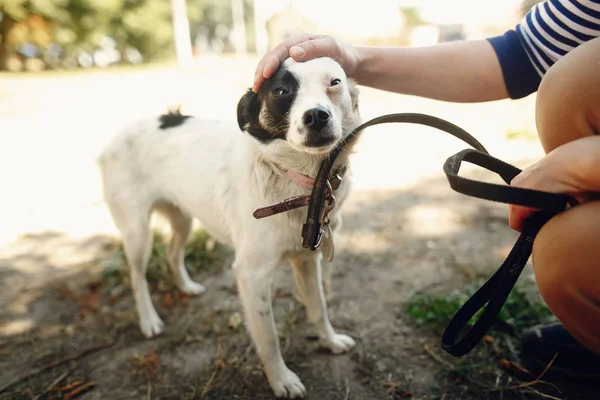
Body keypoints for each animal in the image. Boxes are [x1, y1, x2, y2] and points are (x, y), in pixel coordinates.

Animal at [98, 56, 360, 396]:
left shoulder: (306, 258)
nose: (316, 116)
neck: (301, 181)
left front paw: (329, 341)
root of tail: (118, 134)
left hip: (183, 216)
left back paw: (186, 287)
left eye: (334, 83)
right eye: (280, 91)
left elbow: (319, 307)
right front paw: (281, 380)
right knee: (136, 276)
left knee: (171, 253)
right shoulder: (251, 276)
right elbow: (269, 338)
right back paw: (148, 320)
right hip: (137, 231)